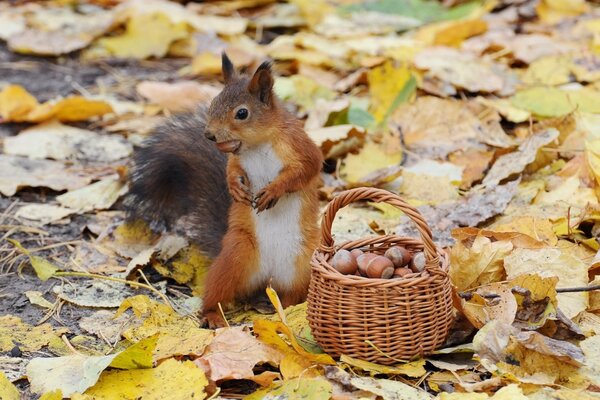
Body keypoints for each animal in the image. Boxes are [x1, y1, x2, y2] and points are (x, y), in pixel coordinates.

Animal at [127, 54, 324, 328]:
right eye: (213, 102)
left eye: (242, 113)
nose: (209, 135)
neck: (257, 144)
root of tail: (268, 279)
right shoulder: (237, 160)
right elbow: (231, 169)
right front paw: (234, 188)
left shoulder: (300, 146)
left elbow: (306, 169)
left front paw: (273, 190)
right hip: (235, 255)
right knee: (218, 292)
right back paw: (213, 315)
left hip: (303, 265)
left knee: (293, 295)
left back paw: (285, 310)